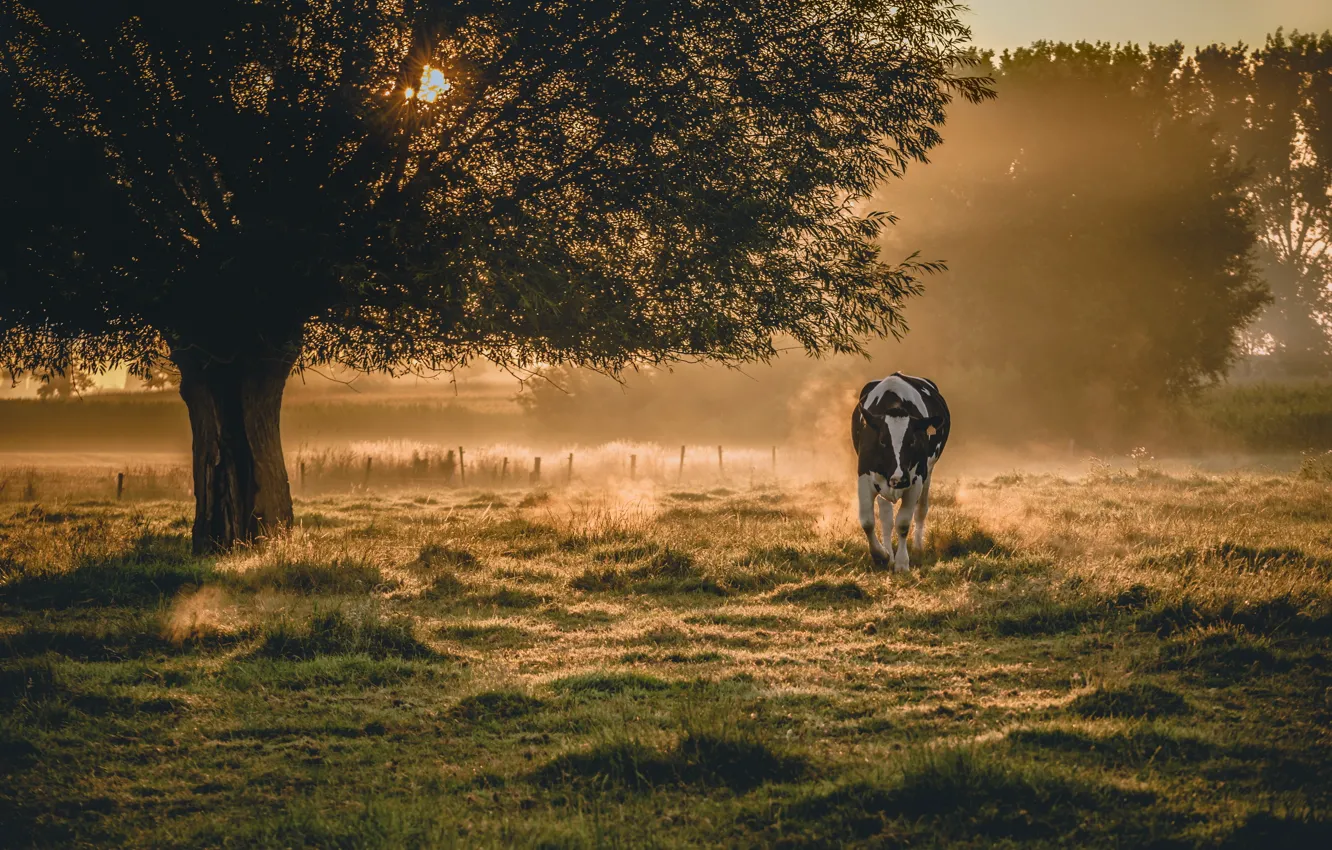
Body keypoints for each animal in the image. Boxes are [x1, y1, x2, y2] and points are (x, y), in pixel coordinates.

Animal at [851, 373, 951, 571]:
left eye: (912, 441)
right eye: (882, 440)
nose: (899, 479)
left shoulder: (916, 480)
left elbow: (903, 523)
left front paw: (902, 563)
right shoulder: (864, 476)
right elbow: (867, 521)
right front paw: (881, 555)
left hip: (928, 472)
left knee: (921, 510)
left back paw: (917, 548)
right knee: (886, 519)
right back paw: (889, 552)